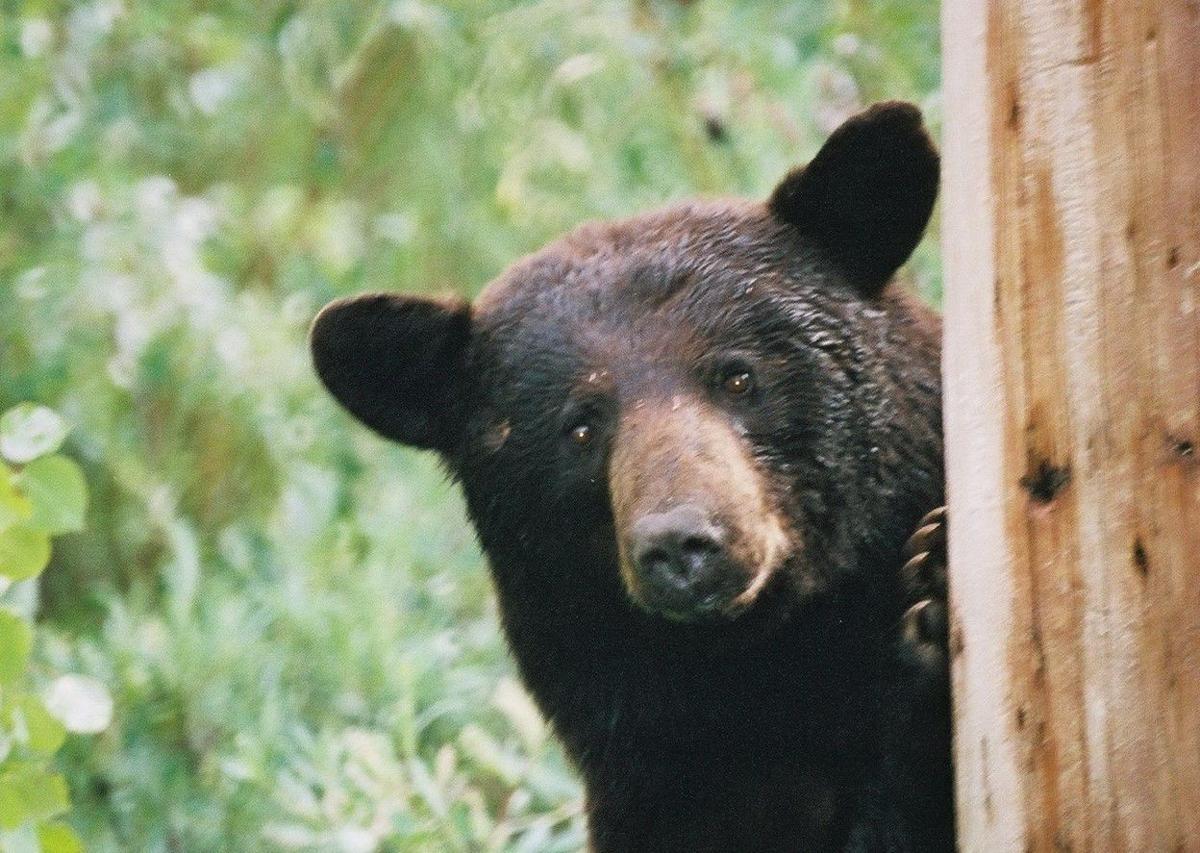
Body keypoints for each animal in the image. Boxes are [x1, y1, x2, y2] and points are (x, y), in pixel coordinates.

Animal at [314, 103, 950, 849]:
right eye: (580, 426)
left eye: (738, 376)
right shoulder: (656, 790)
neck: (768, 674)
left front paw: (936, 587)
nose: (681, 543)